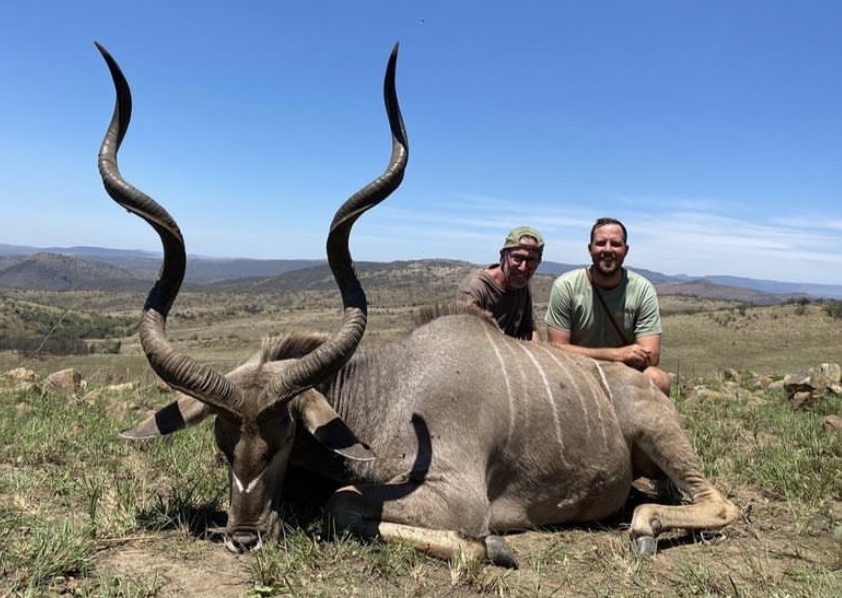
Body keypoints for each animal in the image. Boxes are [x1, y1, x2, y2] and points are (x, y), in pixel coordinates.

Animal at [95, 41, 740, 567]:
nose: (244, 538)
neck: (382, 397)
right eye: (222, 443)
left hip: (662, 438)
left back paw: (644, 529)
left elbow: (346, 506)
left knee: (720, 504)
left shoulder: (458, 497)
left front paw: (495, 548)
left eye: (282, 438)